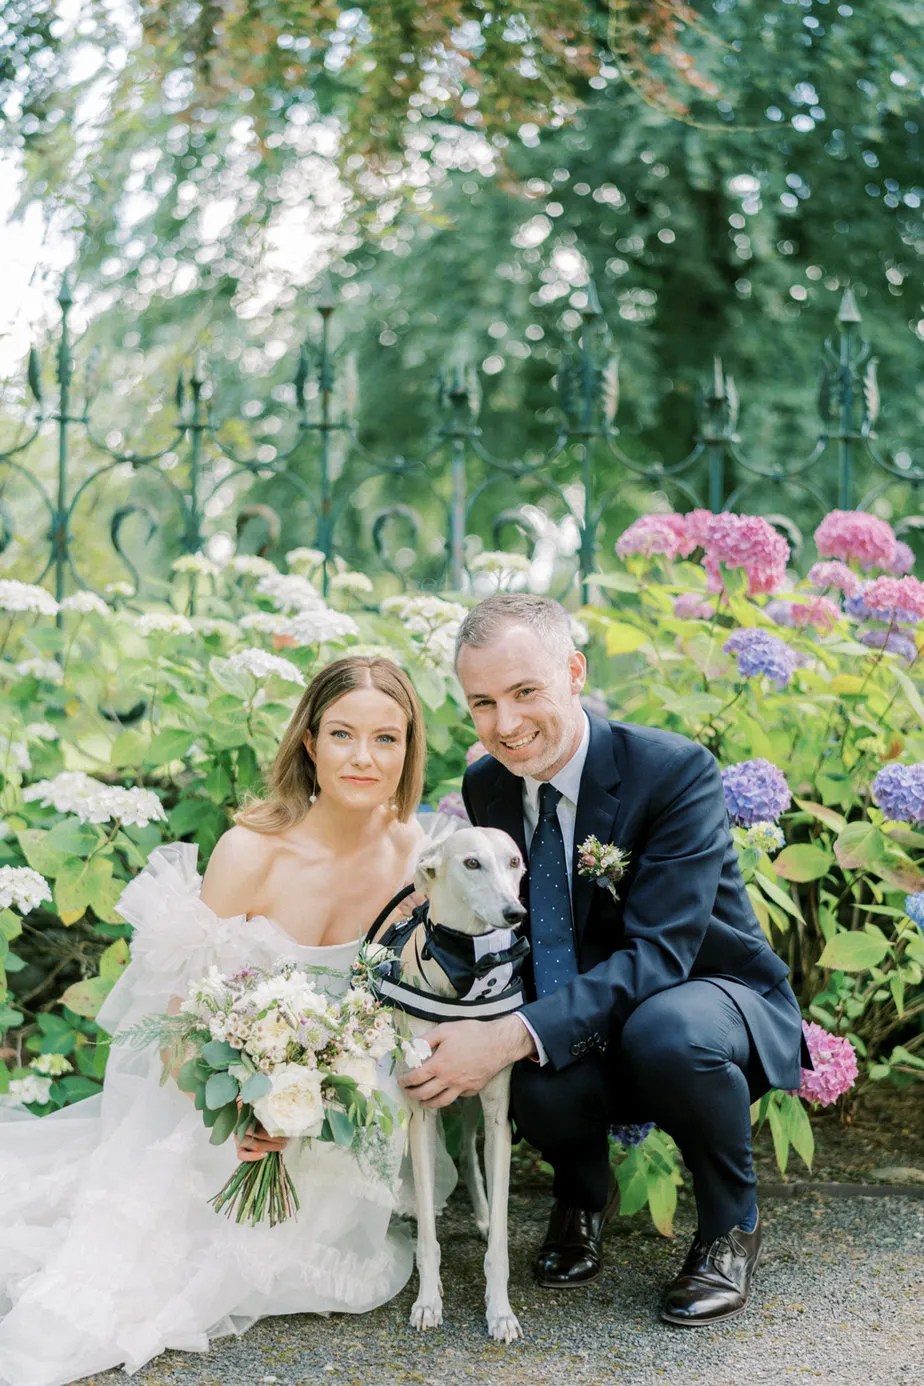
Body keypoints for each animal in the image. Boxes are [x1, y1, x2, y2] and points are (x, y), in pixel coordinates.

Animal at [368, 820, 526, 1341]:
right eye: (471, 862)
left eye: (515, 861)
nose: (515, 913)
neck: (466, 972)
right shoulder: (421, 1104)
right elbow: (428, 1240)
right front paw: (428, 1301)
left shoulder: (498, 1111)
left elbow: (499, 1243)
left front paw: (501, 1311)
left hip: (473, 1105)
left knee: (469, 1155)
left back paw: (480, 1213)